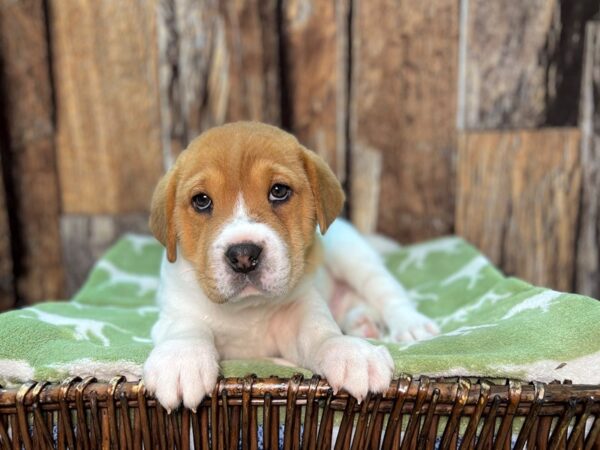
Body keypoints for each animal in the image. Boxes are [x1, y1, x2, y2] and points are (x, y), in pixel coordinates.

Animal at [143, 122, 438, 412]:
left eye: (278, 191)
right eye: (201, 200)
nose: (243, 255)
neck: (247, 310)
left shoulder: (299, 313)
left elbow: (320, 333)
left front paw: (348, 352)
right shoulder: (175, 312)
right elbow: (187, 328)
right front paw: (181, 359)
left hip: (355, 259)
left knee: (388, 295)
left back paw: (411, 325)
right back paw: (362, 322)